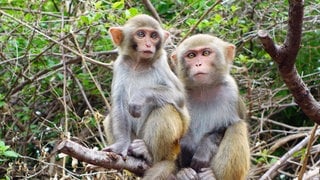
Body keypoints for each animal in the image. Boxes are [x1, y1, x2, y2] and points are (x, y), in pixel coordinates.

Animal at [103, 14, 190, 179]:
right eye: (141, 34)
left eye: (154, 36)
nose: (149, 44)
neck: (139, 64)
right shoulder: (120, 65)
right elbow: (118, 105)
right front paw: (120, 145)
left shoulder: (161, 63)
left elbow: (180, 97)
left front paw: (140, 96)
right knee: (109, 117)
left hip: (172, 149)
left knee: (165, 108)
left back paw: (149, 155)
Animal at [171, 34, 251, 180]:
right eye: (191, 55)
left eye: (206, 53)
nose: (198, 64)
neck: (204, 90)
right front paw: (186, 144)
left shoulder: (231, 92)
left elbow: (224, 128)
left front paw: (204, 149)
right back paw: (183, 173)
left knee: (237, 126)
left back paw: (211, 175)